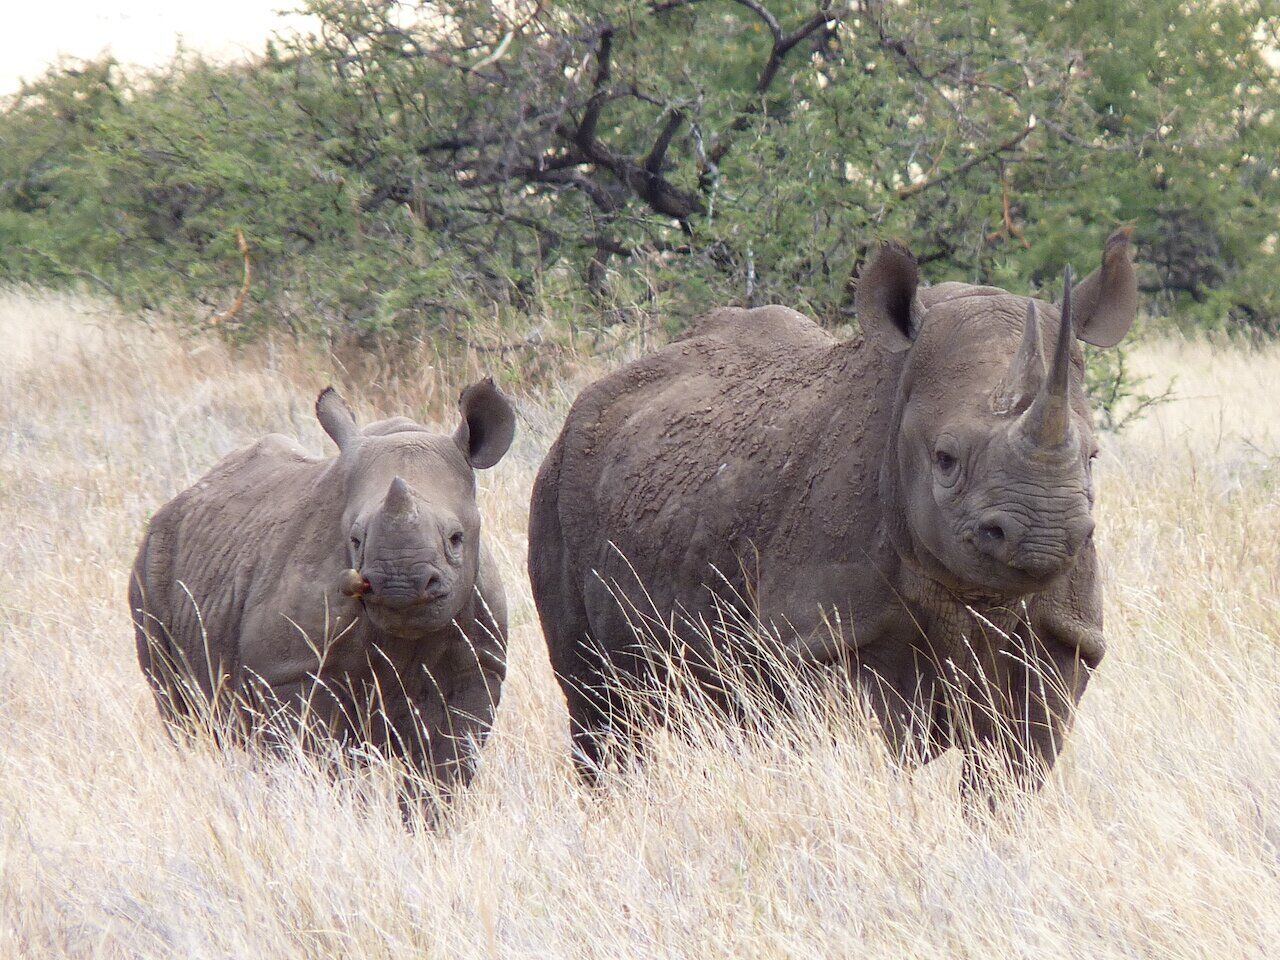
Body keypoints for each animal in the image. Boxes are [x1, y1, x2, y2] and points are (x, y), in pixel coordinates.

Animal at [130, 381, 515, 792]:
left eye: (456, 538)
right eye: (356, 539)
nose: (400, 584)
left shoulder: (477, 669)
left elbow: (446, 767)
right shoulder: (291, 670)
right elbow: (317, 761)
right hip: (152, 561)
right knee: (182, 716)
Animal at [529, 229, 1138, 795]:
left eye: (1092, 457)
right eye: (945, 459)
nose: (1044, 537)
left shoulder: (1064, 638)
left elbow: (1010, 775)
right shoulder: (823, 642)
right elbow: (864, 759)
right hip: (554, 483)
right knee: (598, 710)